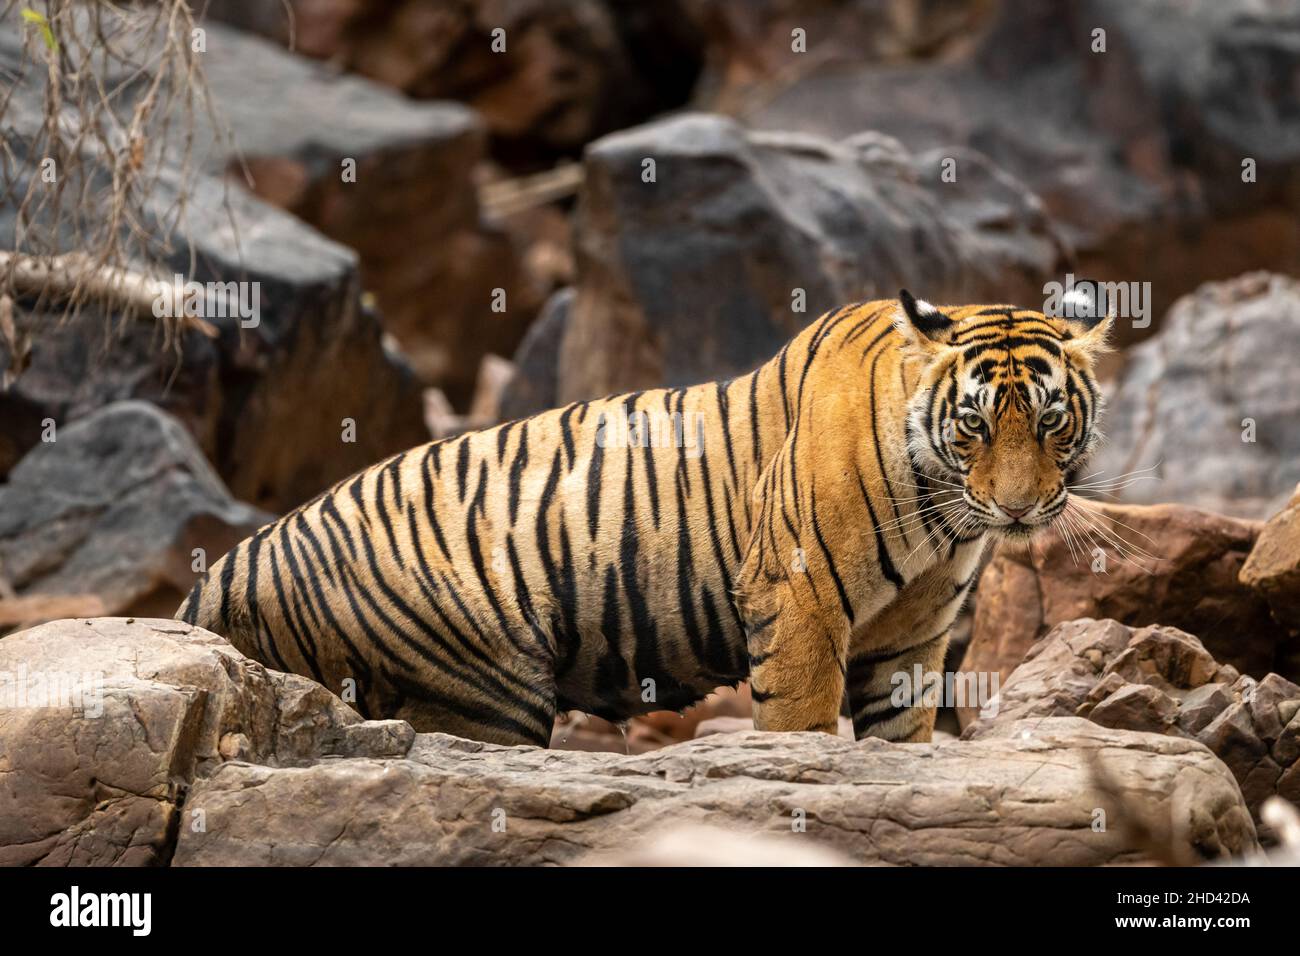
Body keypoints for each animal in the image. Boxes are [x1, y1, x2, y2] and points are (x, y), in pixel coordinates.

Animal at [172, 290, 1112, 749]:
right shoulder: (798, 597)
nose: (1019, 506)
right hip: (481, 691)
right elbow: (802, 721)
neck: (942, 514)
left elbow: (903, 734)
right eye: (976, 424)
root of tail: (225, 571)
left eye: (1052, 421)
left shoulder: (913, 634)